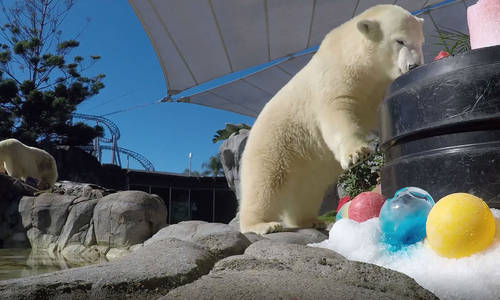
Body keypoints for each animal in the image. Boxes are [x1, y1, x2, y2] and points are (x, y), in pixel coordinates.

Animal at [240, 4, 424, 234]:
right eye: (400, 41)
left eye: (420, 42)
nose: (414, 66)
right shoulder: (335, 76)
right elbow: (337, 112)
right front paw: (357, 154)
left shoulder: (377, 87)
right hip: (275, 143)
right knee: (264, 184)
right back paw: (264, 224)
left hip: (307, 167)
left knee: (306, 192)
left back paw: (310, 220)